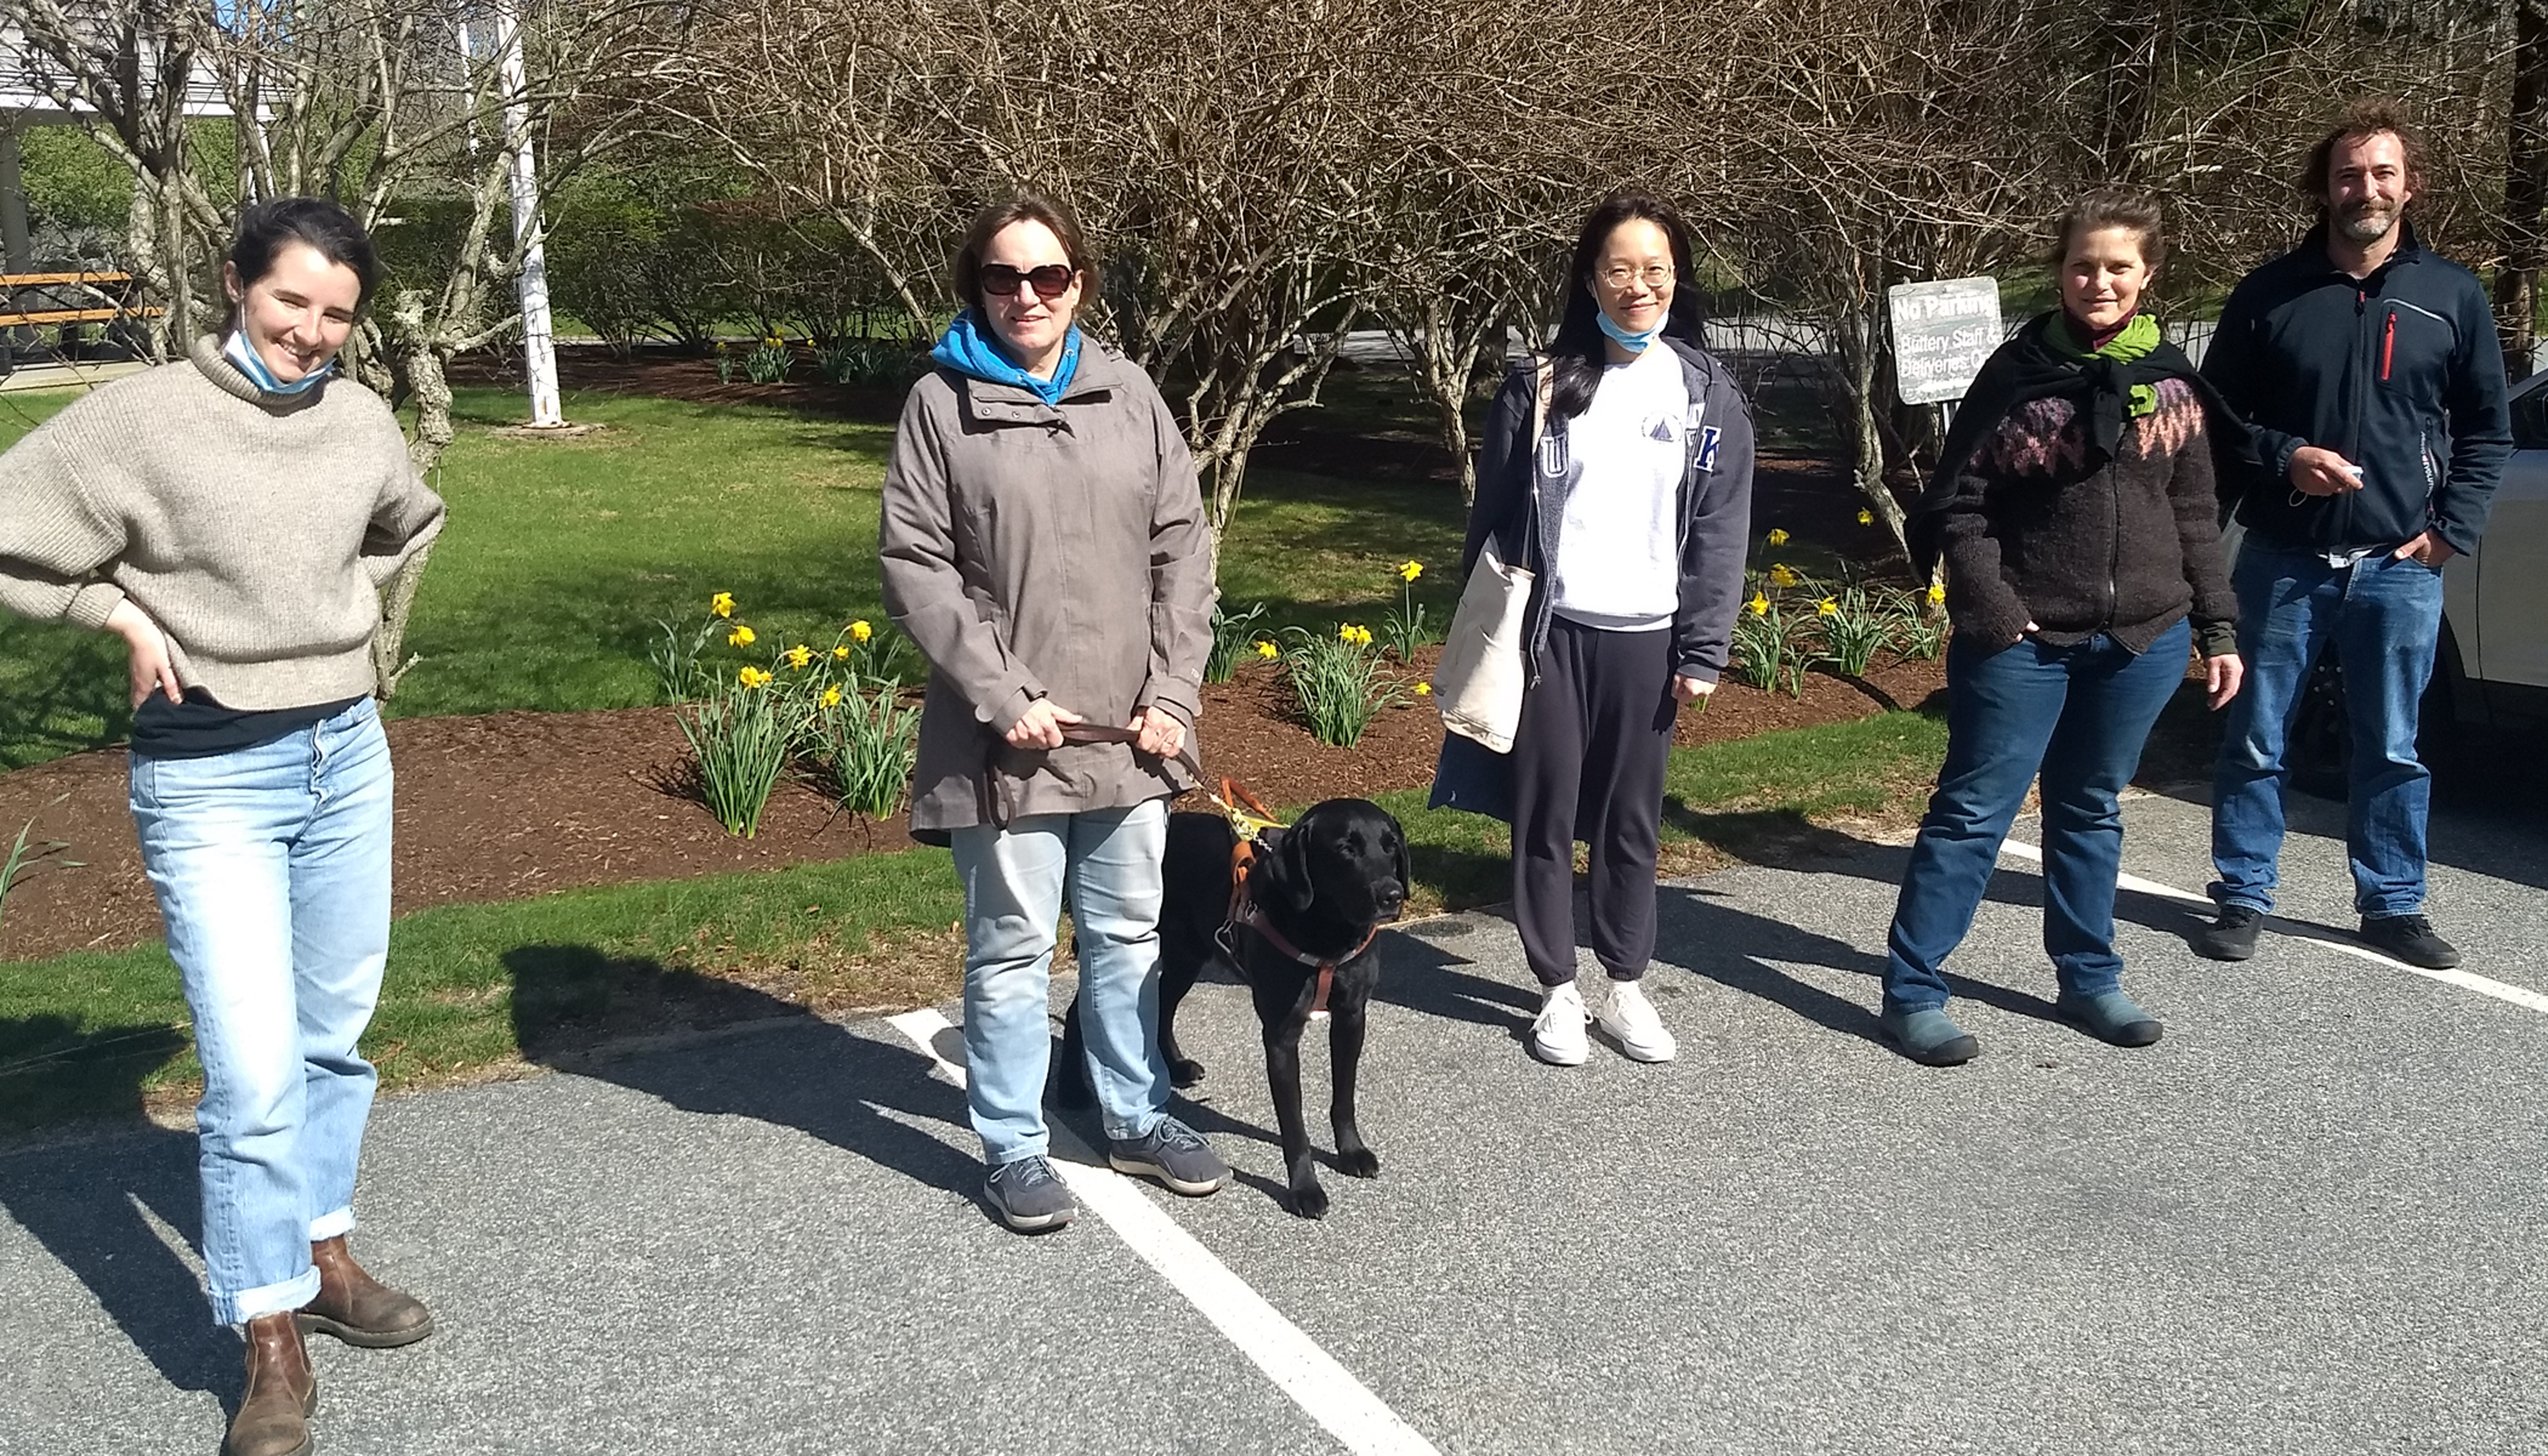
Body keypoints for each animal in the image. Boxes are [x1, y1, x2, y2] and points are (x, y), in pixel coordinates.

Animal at [1055, 794, 1417, 1217]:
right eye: (1346, 848)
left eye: (1390, 846)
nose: (1391, 895)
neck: (1326, 931)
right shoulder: (1280, 1035)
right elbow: (1294, 1126)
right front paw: (1304, 1189)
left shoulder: (1352, 1018)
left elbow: (1344, 1098)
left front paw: (1351, 1151)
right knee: (1081, 1011)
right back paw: (1071, 1089)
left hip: (1187, 954)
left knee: (1164, 1004)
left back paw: (1176, 1066)